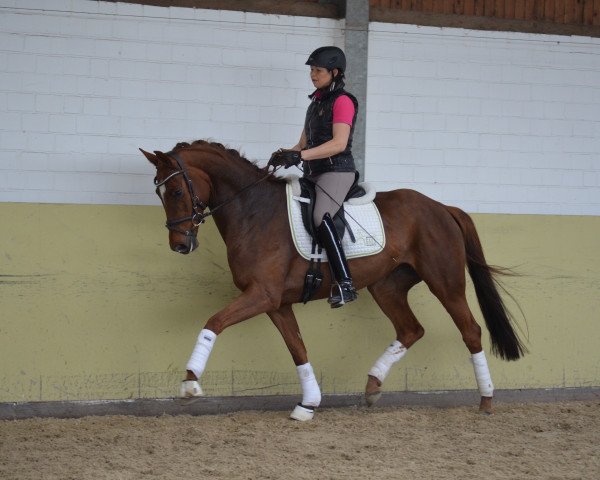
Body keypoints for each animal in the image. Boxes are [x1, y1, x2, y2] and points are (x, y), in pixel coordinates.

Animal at [141, 139, 524, 420]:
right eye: (158, 193)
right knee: (411, 329)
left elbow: (213, 322)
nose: (180, 245)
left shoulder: (262, 295)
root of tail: (443, 208)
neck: (253, 211)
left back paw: (486, 400)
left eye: (176, 192)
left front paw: (190, 383)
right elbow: (297, 348)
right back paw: (373, 386)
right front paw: (308, 403)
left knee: (470, 330)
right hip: (386, 286)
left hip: (444, 282)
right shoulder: (275, 302)